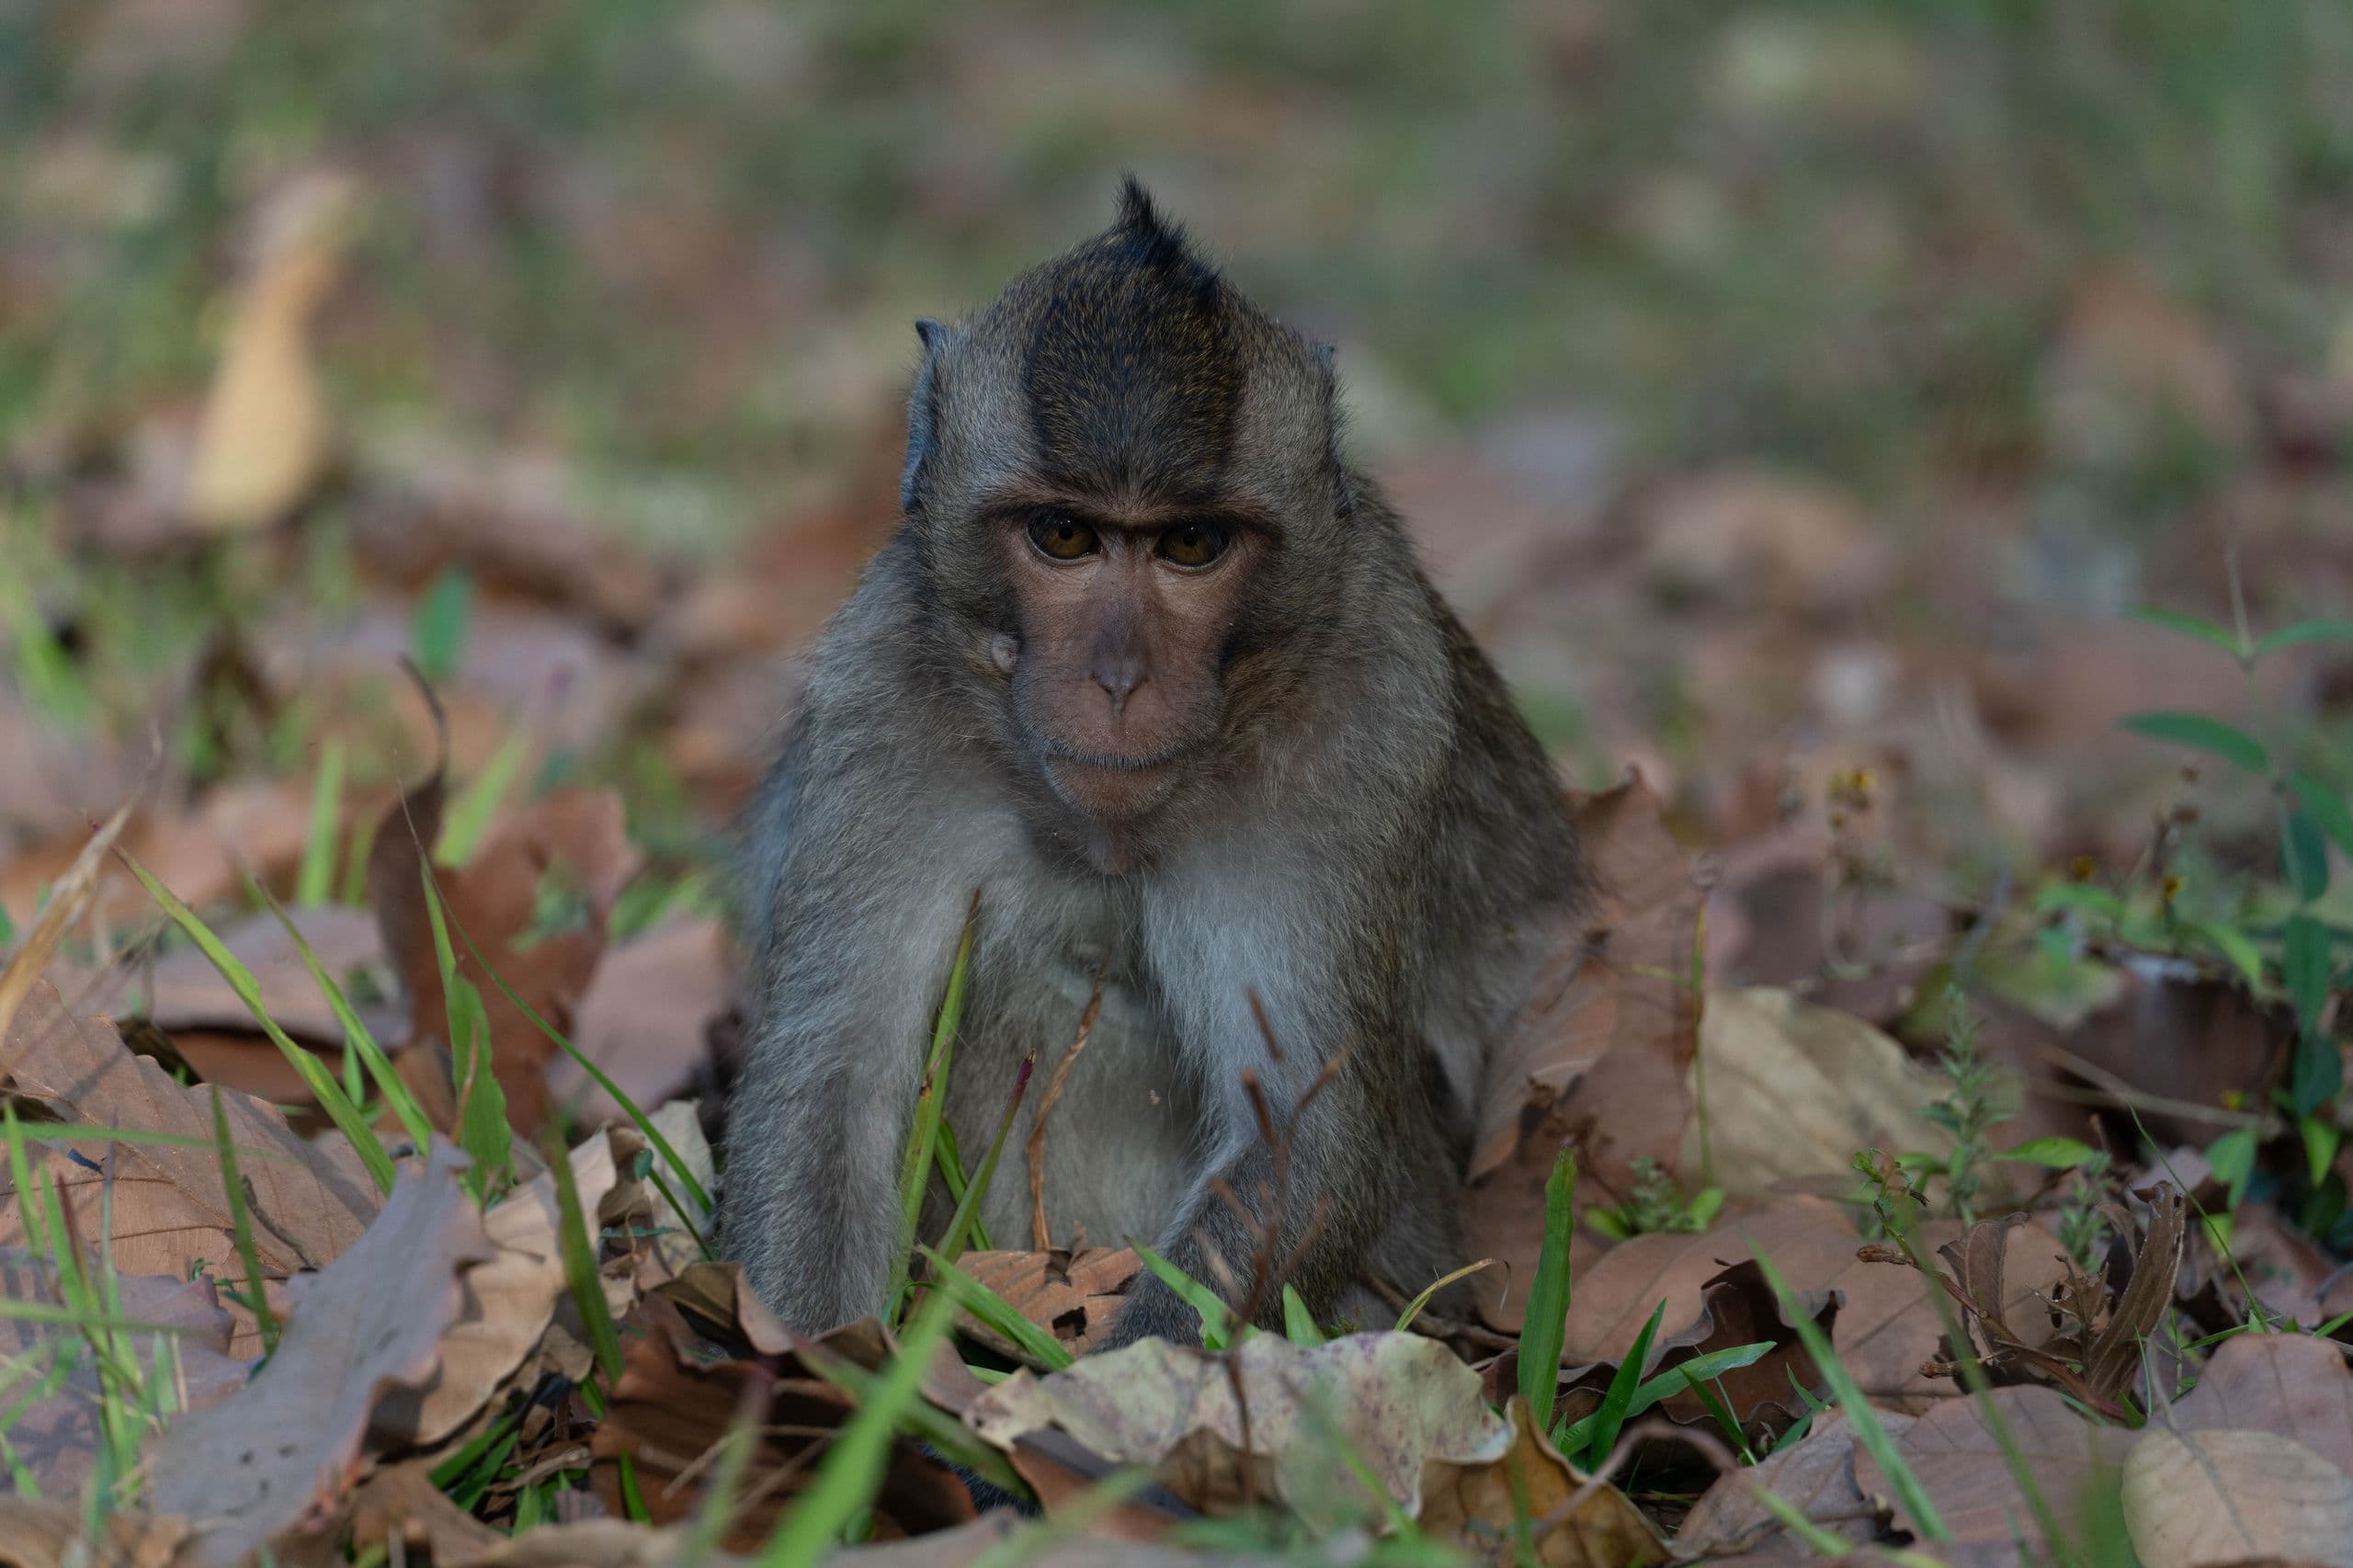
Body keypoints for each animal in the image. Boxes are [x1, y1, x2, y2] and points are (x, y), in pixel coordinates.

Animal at [722, 181, 1584, 1347]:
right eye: (1063, 534)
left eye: (1188, 546)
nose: (1120, 680)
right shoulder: (881, 691)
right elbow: (833, 1084)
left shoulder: (1370, 719)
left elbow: (1304, 1135)